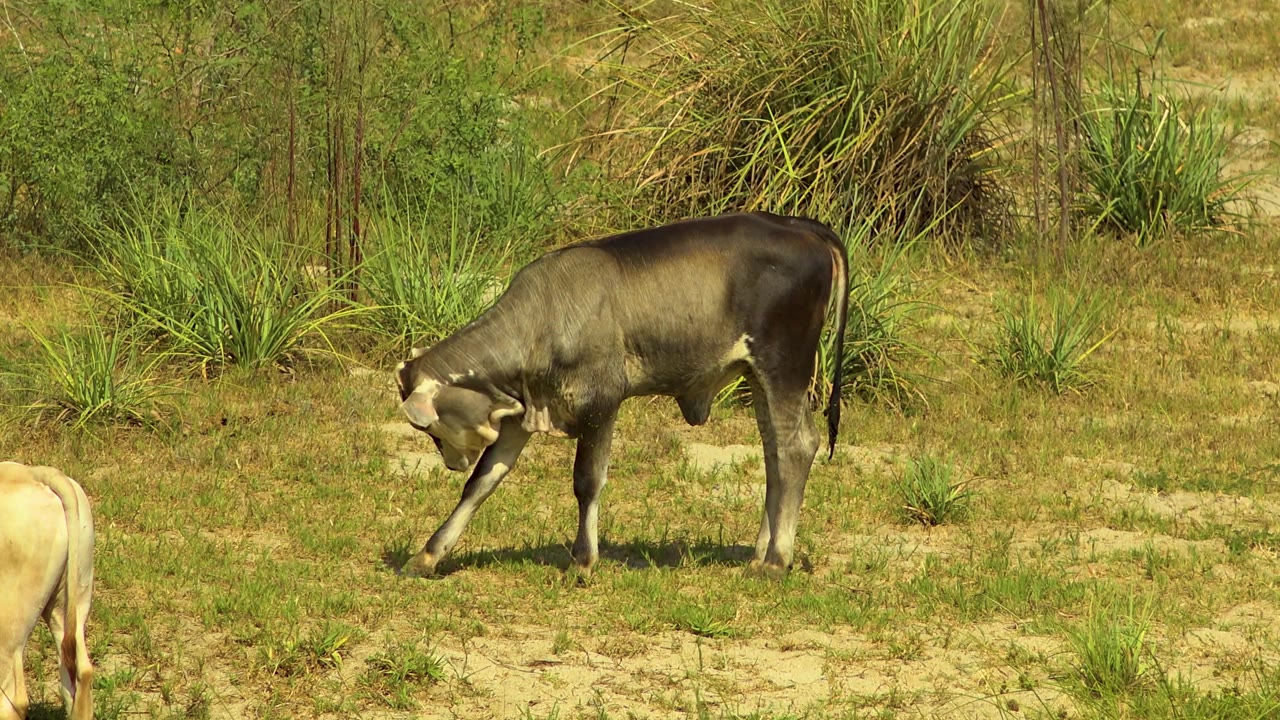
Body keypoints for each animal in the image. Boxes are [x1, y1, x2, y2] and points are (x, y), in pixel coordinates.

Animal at [393, 211, 849, 578]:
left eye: (431, 431)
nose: (450, 462)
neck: (540, 320)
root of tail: (798, 224)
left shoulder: (601, 402)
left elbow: (587, 481)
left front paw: (582, 561)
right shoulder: (523, 414)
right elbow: (482, 482)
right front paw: (429, 555)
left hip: (784, 365)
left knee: (797, 446)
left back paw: (776, 562)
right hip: (759, 376)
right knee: (774, 453)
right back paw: (761, 554)